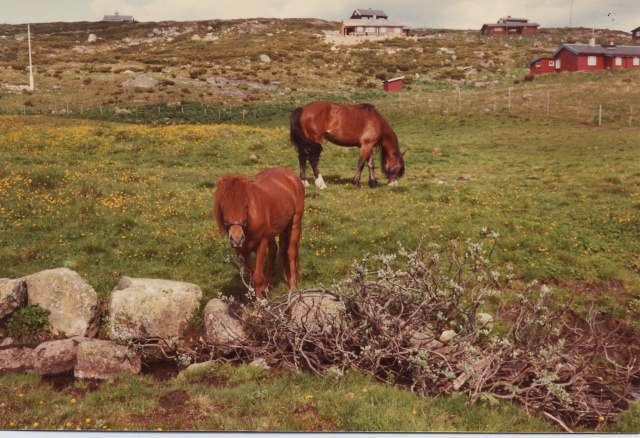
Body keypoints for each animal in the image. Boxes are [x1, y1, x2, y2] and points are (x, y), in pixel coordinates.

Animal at [214, 166, 306, 300]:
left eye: (245, 206)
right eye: (223, 207)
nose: (237, 238)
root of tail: (289, 173)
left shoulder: (261, 244)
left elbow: (257, 276)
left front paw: (259, 304)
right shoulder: (241, 251)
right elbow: (253, 274)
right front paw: (260, 292)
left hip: (295, 222)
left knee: (291, 252)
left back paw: (292, 287)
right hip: (272, 232)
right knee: (273, 251)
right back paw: (266, 285)